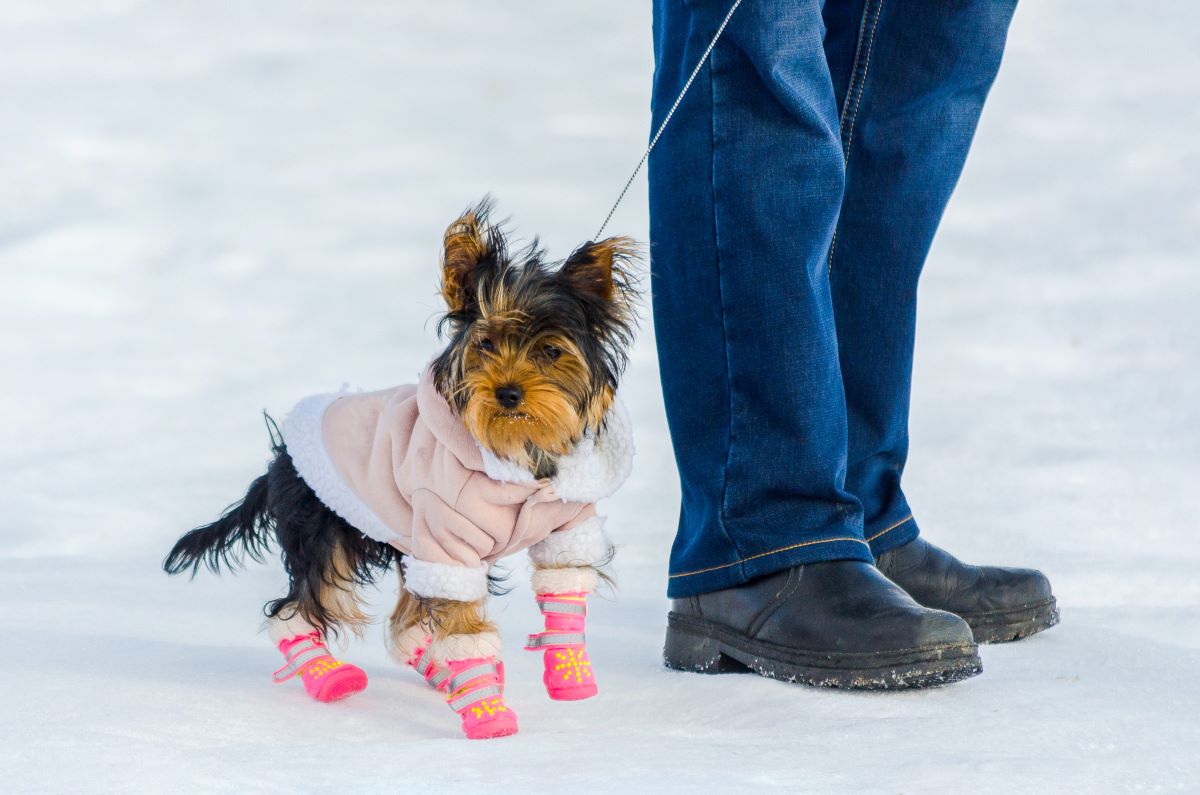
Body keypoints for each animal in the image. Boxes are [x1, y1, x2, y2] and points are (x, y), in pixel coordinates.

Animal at [166, 200, 648, 739]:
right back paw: (329, 676)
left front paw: (569, 673)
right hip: (325, 528)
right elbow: (463, 625)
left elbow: (564, 584)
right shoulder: (447, 540)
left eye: (550, 351)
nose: (507, 393)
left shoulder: (566, 523)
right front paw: (487, 713)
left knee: (406, 621)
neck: (515, 455)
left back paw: (437, 671)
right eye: (485, 345)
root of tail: (283, 456)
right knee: (302, 607)